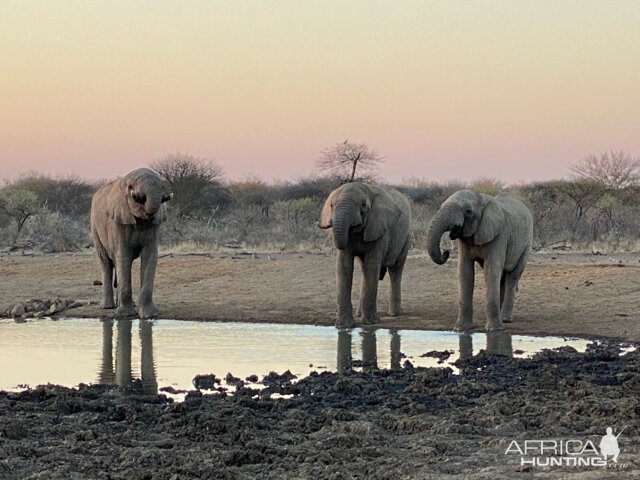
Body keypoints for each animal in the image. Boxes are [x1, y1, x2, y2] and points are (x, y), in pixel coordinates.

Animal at [89, 167, 172, 320]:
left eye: (162, 185)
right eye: (130, 187)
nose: (137, 195)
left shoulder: (154, 224)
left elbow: (150, 256)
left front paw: (150, 315)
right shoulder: (117, 221)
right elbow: (123, 256)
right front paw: (126, 315)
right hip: (95, 227)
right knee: (106, 263)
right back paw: (108, 307)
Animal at [318, 182, 412, 328]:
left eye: (363, 205)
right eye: (331, 206)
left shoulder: (379, 228)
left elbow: (372, 265)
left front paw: (371, 323)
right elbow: (344, 265)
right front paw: (344, 326)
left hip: (405, 238)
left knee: (395, 270)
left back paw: (395, 314)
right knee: (364, 270)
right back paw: (359, 314)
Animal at [424, 189, 536, 332]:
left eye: (468, 211)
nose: (446, 252)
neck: (481, 198)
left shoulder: (500, 234)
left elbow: (491, 270)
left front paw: (494, 330)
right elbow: (465, 272)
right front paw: (461, 329)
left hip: (527, 243)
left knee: (513, 276)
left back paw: (505, 319)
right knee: (501, 278)